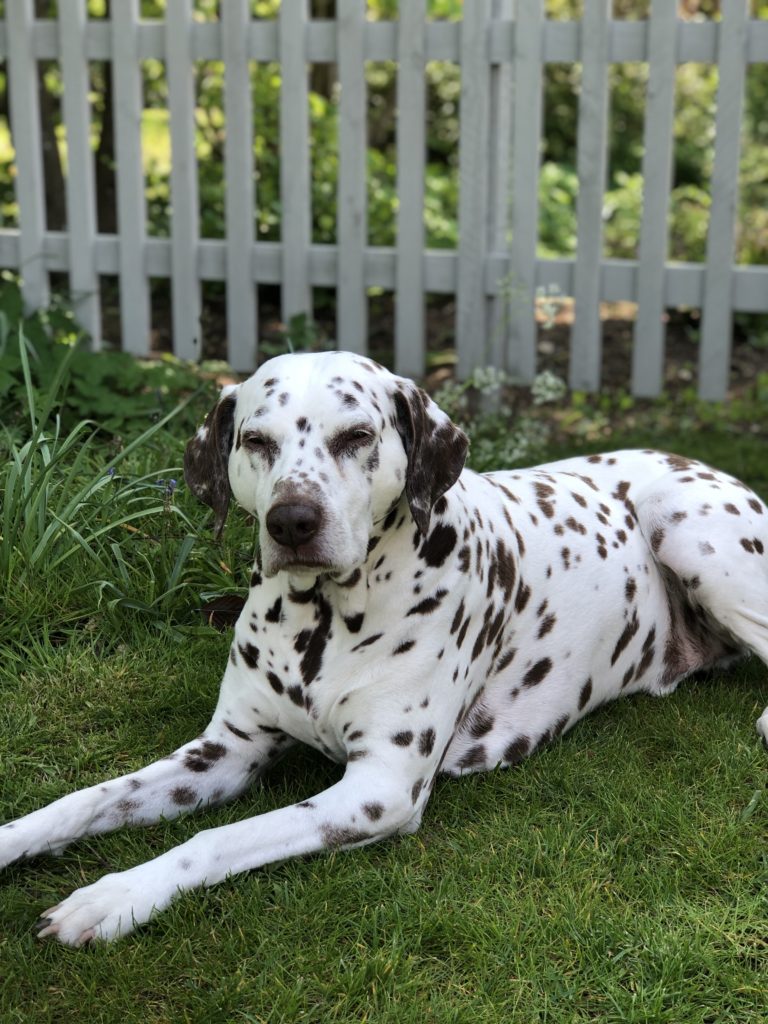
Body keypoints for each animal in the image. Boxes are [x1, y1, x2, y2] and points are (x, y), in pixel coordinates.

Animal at [1, 352, 768, 942]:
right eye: (255, 440)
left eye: (356, 435)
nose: (292, 521)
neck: (318, 619)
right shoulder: (222, 753)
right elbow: (86, 799)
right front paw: (16, 840)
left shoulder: (377, 789)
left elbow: (215, 838)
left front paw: (113, 897)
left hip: (684, 524)